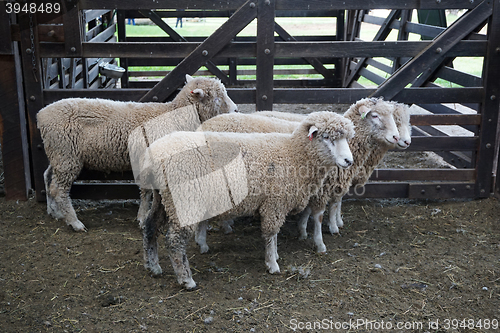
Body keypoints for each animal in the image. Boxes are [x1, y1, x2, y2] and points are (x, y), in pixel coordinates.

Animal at [37, 75, 236, 231]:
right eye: (217, 98)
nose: (235, 110)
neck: (175, 116)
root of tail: (41, 115)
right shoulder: (146, 158)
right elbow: (146, 190)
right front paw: (142, 217)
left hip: (58, 154)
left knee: (47, 177)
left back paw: (54, 211)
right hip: (66, 155)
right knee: (59, 189)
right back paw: (74, 222)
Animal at [139, 111, 354, 288]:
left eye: (346, 138)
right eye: (326, 137)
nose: (349, 161)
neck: (293, 154)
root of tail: (153, 156)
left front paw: (275, 256)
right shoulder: (274, 203)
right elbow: (271, 234)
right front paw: (272, 263)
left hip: (163, 199)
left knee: (150, 227)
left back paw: (153, 267)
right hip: (186, 201)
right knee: (174, 241)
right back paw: (186, 279)